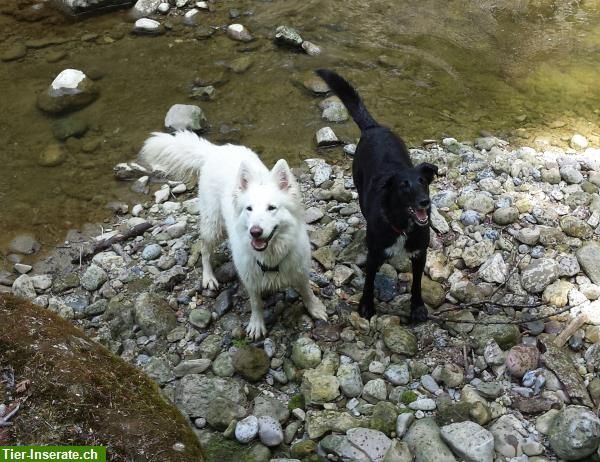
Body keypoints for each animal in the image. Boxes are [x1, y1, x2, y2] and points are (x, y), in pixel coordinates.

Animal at [139, 131, 328, 340]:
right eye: (249, 209)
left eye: (271, 208)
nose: (255, 231)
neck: (271, 257)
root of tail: (214, 150)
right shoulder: (251, 279)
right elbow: (256, 303)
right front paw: (257, 323)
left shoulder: (299, 269)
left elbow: (306, 290)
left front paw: (315, 308)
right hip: (214, 226)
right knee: (205, 250)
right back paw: (208, 277)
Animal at [316, 69, 438, 322]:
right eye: (403, 187)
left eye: (423, 182)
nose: (424, 202)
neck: (402, 225)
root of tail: (374, 128)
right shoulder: (374, 256)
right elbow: (369, 283)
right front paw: (366, 306)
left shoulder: (420, 254)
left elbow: (417, 284)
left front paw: (417, 307)